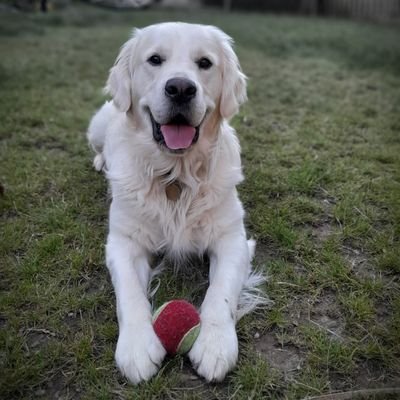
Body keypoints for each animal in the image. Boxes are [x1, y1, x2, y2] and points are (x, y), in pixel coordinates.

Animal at [86, 22, 264, 384]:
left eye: (205, 63)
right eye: (155, 59)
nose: (181, 88)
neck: (176, 175)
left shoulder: (233, 239)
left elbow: (220, 293)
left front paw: (215, 344)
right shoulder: (123, 242)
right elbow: (130, 294)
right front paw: (137, 347)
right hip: (97, 126)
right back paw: (100, 162)